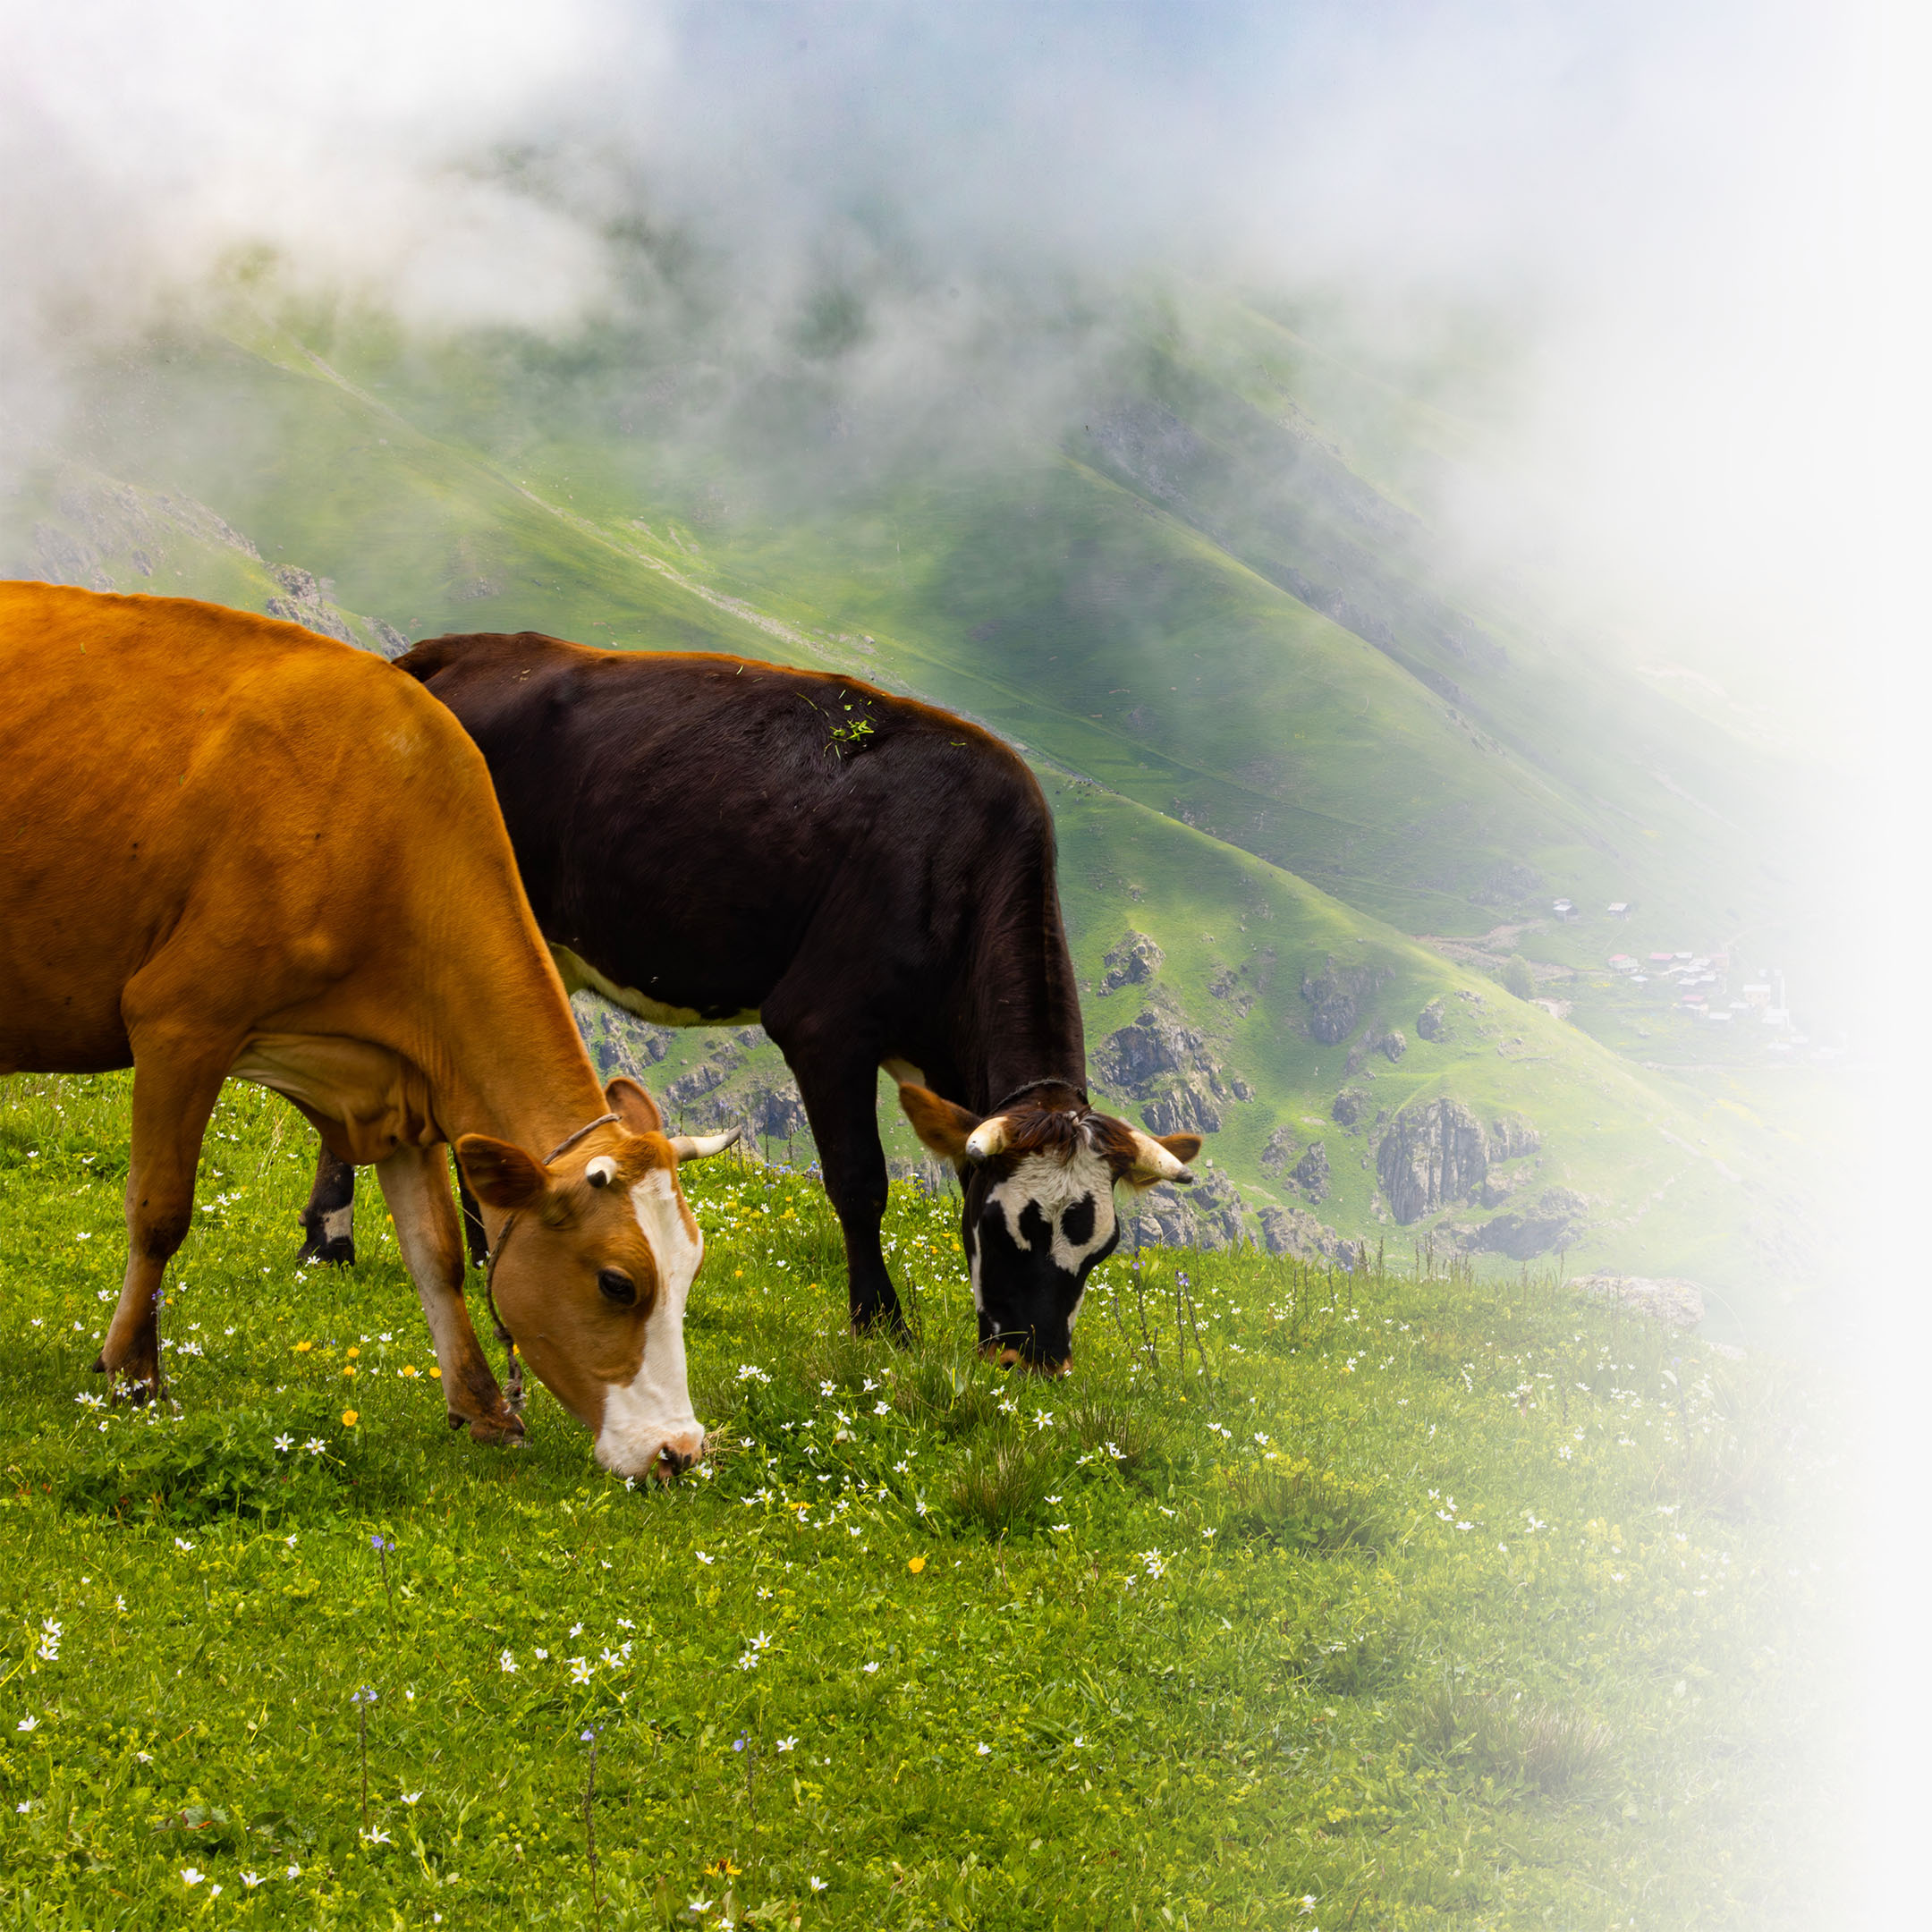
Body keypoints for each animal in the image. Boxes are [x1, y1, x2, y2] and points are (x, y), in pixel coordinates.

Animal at [0, 585, 735, 1477]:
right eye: (616, 1284)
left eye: (691, 1269)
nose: (680, 1450)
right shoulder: (180, 1020)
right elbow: (160, 1211)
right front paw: (134, 1376)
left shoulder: (399, 1087)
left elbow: (439, 1253)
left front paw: (483, 1407)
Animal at [299, 630, 1199, 1369]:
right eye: (1010, 1229)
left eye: (1100, 1250)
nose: (1033, 1363)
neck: (956, 867)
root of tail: (456, 652)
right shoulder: (824, 1023)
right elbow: (860, 1181)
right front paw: (882, 1326)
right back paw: (329, 1245)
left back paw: (486, 1252)